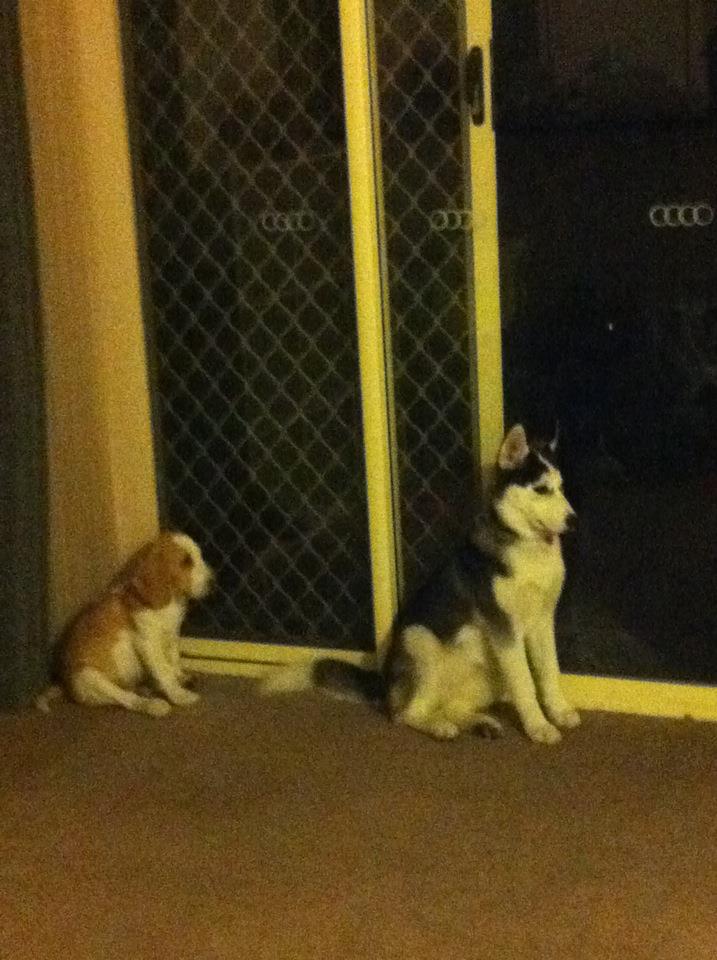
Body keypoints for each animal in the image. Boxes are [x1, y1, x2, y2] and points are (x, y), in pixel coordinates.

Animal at [38, 532, 212, 716]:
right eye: (186, 561)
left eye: (199, 555)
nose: (213, 582)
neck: (172, 601)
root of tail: (64, 685)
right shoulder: (148, 643)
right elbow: (164, 672)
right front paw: (179, 695)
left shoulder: (172, 635)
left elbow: (173, 659)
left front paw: (180, 676)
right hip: (89, 678)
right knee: (127, 698)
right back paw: (152, 705)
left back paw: (147, 689)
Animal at [262, 424, 580, 744]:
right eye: (541, 489)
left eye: (562, 487)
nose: (574, 520)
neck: (527, 545)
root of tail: (384, 684)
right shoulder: (504, 629)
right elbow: (525, 682)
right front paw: (538, 726)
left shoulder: (542, 621)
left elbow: (549, 671)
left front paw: (559, 711)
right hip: (420, 640)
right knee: (406, 714)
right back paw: (439, 727)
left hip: (487, 674)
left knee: (447, 706)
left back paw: (479, 722)